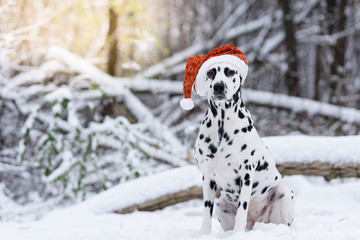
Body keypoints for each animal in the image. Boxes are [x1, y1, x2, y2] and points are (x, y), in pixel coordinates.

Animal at [194, 62, 296, 234]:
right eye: (210, 72)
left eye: (230, 72)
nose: (219, 86)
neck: (222, 124)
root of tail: (257, 221)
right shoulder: (207, 177)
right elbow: (206, 214)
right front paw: (203, 235)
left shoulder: (246, 173)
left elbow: (242, 210)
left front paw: (237, 235)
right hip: (221, 205)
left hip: (284, 194)